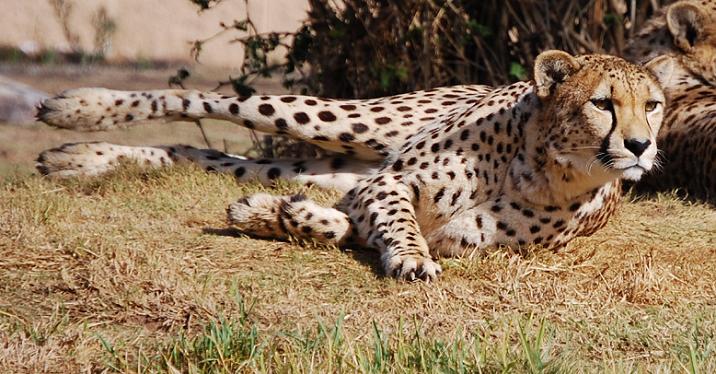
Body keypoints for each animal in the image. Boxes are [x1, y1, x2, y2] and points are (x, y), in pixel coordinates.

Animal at [36, 51, 668, 280]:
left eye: (653, 105)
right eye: (603, 103)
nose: (641, 146)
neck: (548, 165)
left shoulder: (436, 226)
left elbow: (352, 226)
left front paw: (273, 216)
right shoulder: (394, 181)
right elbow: (400, 225)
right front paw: (408, 260)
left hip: (334, 164)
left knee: (215, 158)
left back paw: (81, 160)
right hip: (346, 121)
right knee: (207, 103)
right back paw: (76, 112)